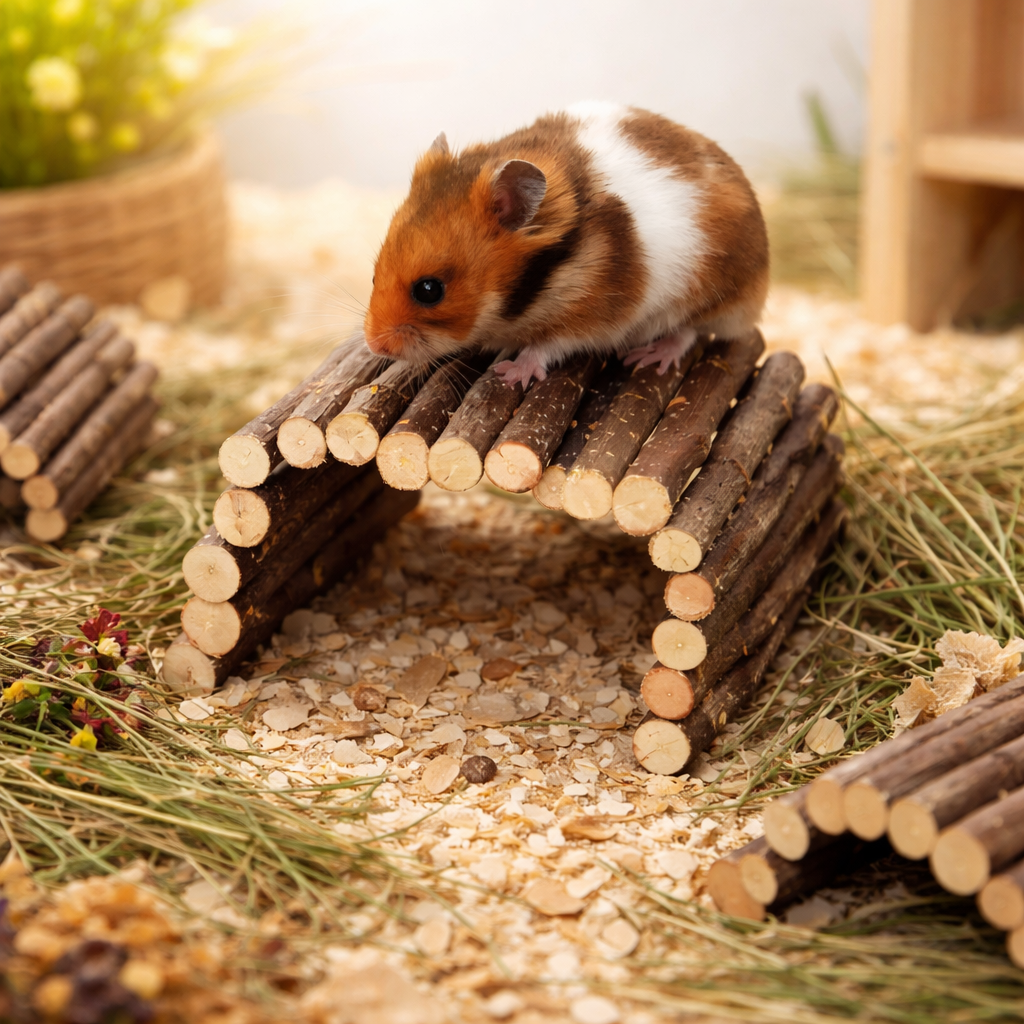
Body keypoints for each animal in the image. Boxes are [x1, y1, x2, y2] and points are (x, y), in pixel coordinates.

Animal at [364, 102, 769, 388]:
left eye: (429, 290)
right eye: (372, 275)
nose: (374, 345)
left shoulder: (589, 317)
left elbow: (546, 346)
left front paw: (508, 374)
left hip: (707, 294)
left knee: (688, 332)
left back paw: (648, 357)